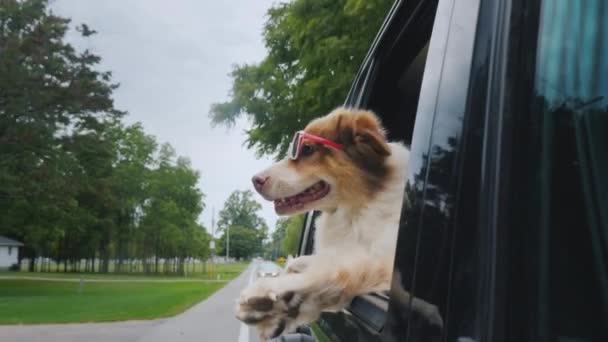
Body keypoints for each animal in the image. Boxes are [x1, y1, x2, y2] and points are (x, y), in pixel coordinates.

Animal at [238, 107, 408, 340]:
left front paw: (278, 292)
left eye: (307, 149)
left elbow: (342, 270)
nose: (255, 181)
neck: (358, 208)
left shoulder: (385, 264)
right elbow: (312, 262)